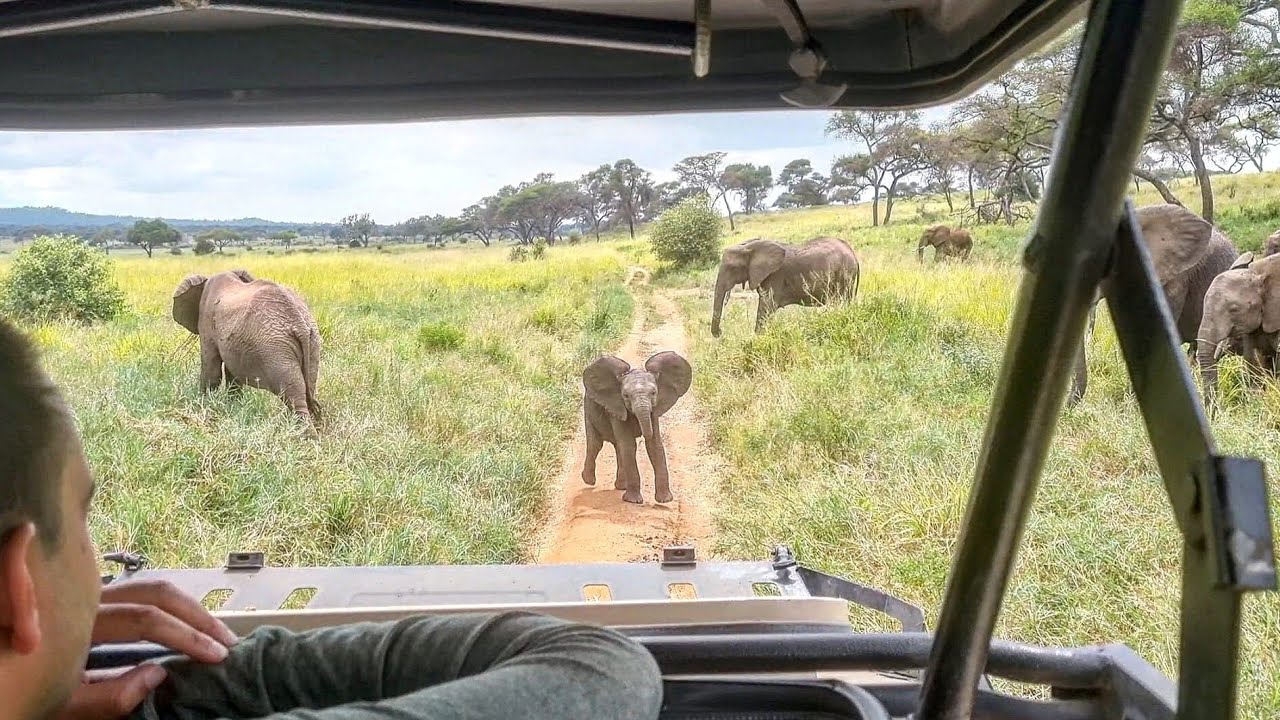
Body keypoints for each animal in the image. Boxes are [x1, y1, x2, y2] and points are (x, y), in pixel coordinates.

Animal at [172, 269, 323, 426]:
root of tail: (299, 323)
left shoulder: (207, 321)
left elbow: (212, 371)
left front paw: (203, 402)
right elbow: (232, 374)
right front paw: (233, 406)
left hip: (277, 349)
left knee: (293, 394)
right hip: (312, 342)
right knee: (308, 389)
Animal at [581, 351, 692, 505]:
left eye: (654, 393)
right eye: (626, 396)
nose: (641, 432)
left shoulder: (653, 412)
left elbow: (655, 445)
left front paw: (665, 500)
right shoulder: (617, 406)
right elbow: (629, 445)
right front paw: (634, 501)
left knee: (617, 447)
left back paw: (621, 486)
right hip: (588, 410)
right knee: (596, 444)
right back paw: (589, 481)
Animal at [710, 236, 860, 337]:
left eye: (732, 268)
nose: (720, 333)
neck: (748, 246)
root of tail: (853, 253)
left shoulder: (775, 276)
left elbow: (766, 307)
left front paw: (758, 338)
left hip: (844, 275)